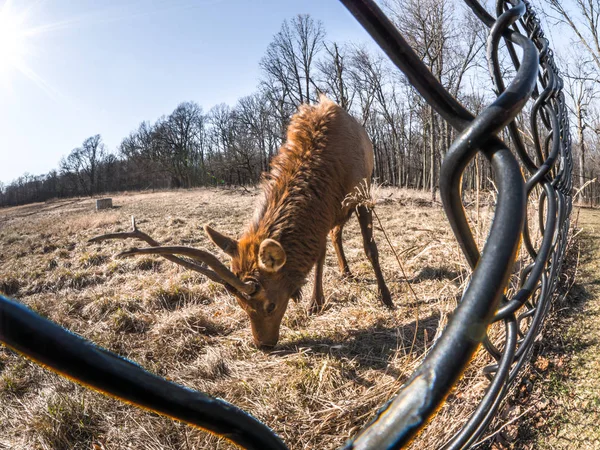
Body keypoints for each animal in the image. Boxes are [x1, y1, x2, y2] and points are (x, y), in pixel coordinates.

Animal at [91, 96, 394, 348]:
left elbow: (370, 247)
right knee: (334, 234)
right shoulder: (322, 215)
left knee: (341, 235)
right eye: (239, 304)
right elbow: (318, 253)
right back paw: (345, 271)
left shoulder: (361, 194)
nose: (263, 345)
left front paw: (386, 297)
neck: (327, 176)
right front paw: (314, 302)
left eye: (270, 305)